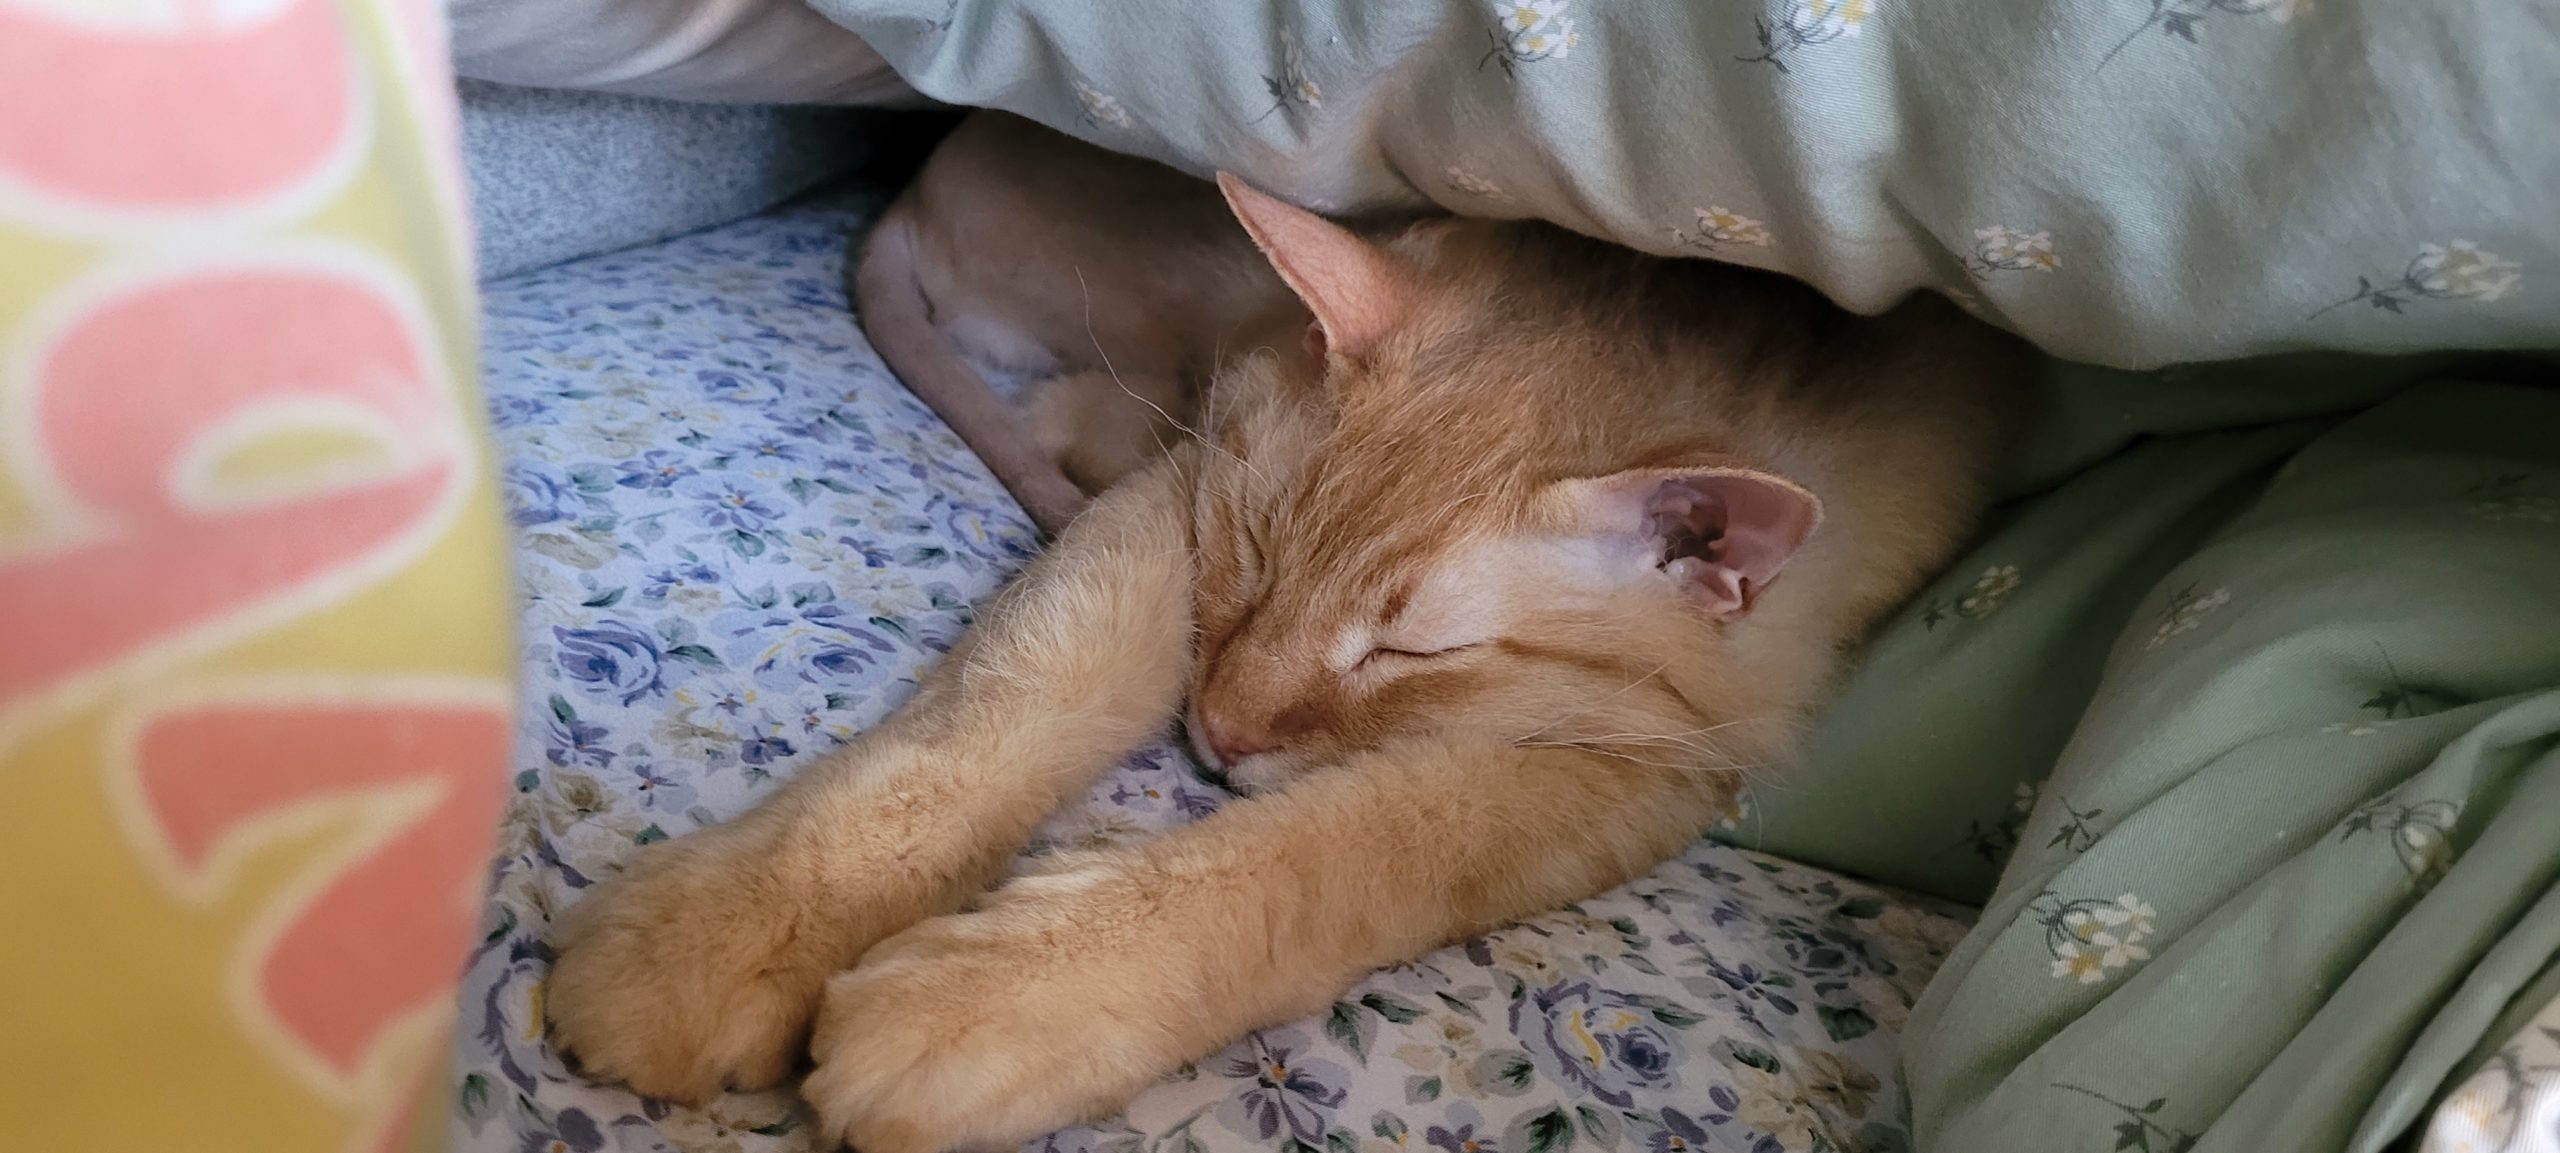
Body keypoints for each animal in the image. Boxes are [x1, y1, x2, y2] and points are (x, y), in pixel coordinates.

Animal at [550, 110, 2027, 1153]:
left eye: (1407, 655)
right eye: (1257, 557)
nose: (1214, 733)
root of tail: (921, 183)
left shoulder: (1638, 768)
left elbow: (1331, 855)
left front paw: (993, 1004)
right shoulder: (1185, 487)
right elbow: (1000, 701)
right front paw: (721, 934)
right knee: (1050, 421)